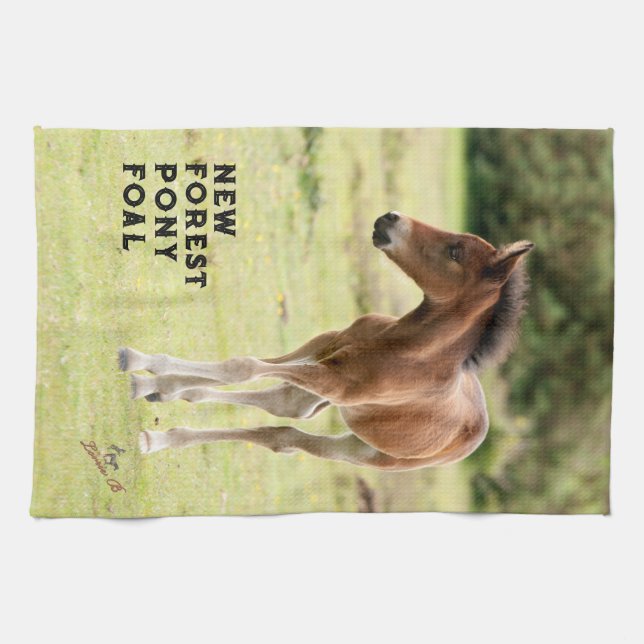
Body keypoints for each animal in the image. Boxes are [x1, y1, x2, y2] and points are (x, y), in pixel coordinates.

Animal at [119, 212, 533, 471]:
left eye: (455, 252)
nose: (390, 218)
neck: (403, 347)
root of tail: (478, 433)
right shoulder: (325, 345)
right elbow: (253, 365)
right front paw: (147, 369)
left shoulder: (333, 380)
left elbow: (243, 367)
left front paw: (148, 376)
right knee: (287, 407)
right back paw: (162, 408)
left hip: (361, 451)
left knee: (287, 434)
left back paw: (157, 432)